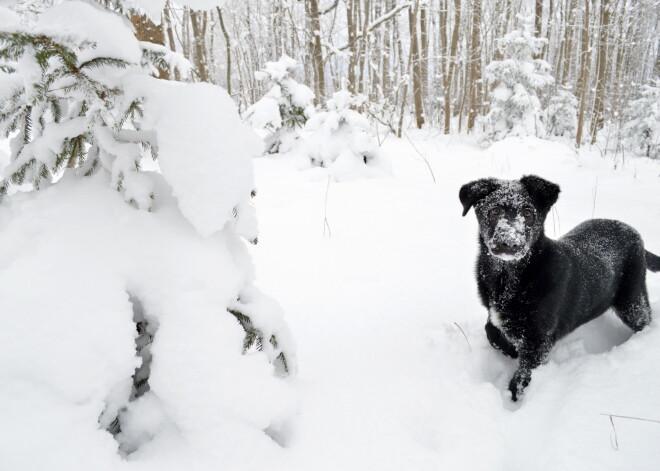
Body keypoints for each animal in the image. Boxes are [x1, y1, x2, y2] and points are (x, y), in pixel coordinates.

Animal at [458, 176, 660, 402]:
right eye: (494, 211)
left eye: (528, 213)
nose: (509, 243)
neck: (510, 277)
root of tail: (633, 232)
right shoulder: (495, 315)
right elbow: (491, 331)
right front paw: (511, 351)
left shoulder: (539, 340)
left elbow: (522, 377)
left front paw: (515, 402)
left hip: (631, 300)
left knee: (644, 320)